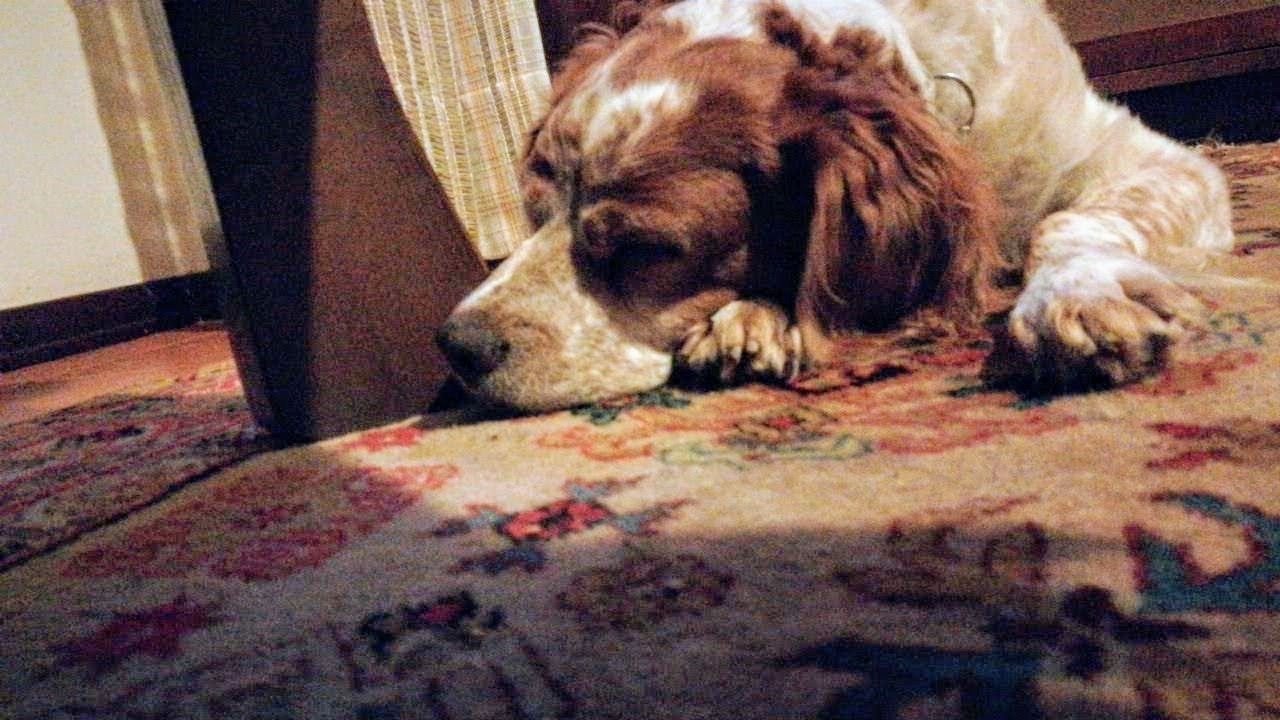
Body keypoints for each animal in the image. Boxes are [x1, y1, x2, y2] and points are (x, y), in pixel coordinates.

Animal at [437, 0, 1234, 412]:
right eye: (534, 210)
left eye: (645, 250)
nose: (456, 347)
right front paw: (752, 317)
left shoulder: (1146, 157)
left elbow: (1068, 220)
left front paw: (1074, 297)